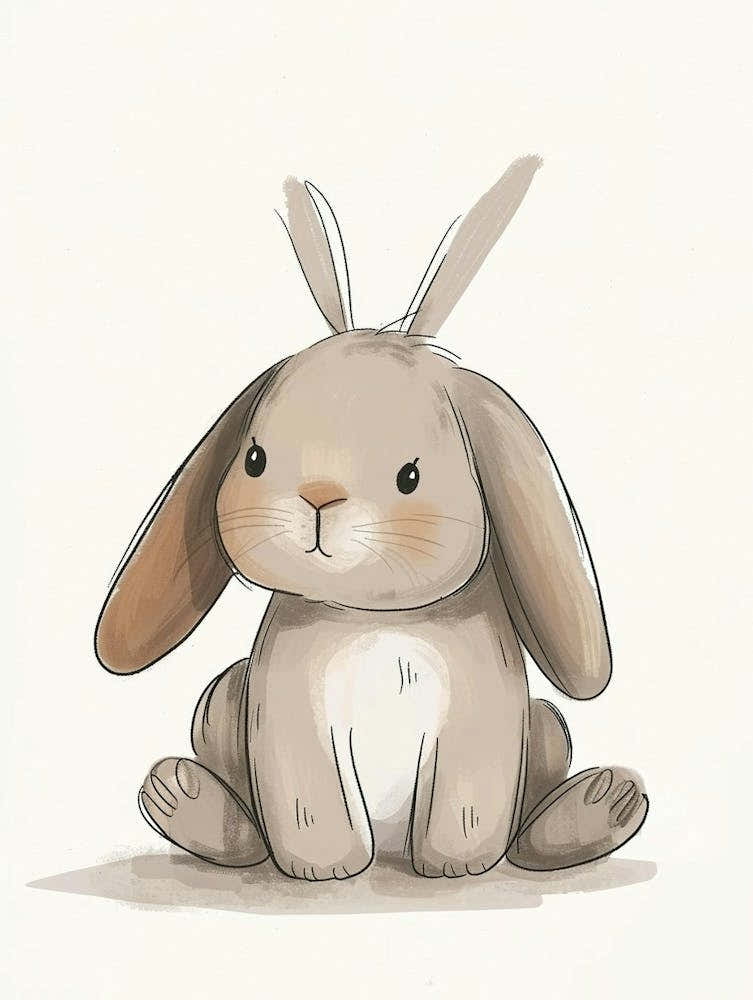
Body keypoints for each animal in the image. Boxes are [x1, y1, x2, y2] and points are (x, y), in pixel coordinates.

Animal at [95, 156, 648, 880]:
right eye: (254, 458)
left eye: (409, 477)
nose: (317, 500)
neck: (380, 623)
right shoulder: (289, 718)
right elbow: (308, 802)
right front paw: (325, 869)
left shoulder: (480, 722)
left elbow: (467, 804)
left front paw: (454, 867)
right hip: (223, 703)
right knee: (238, 810)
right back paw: (179, 798)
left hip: (545, 727)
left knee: (536, 802)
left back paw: (603, 804)